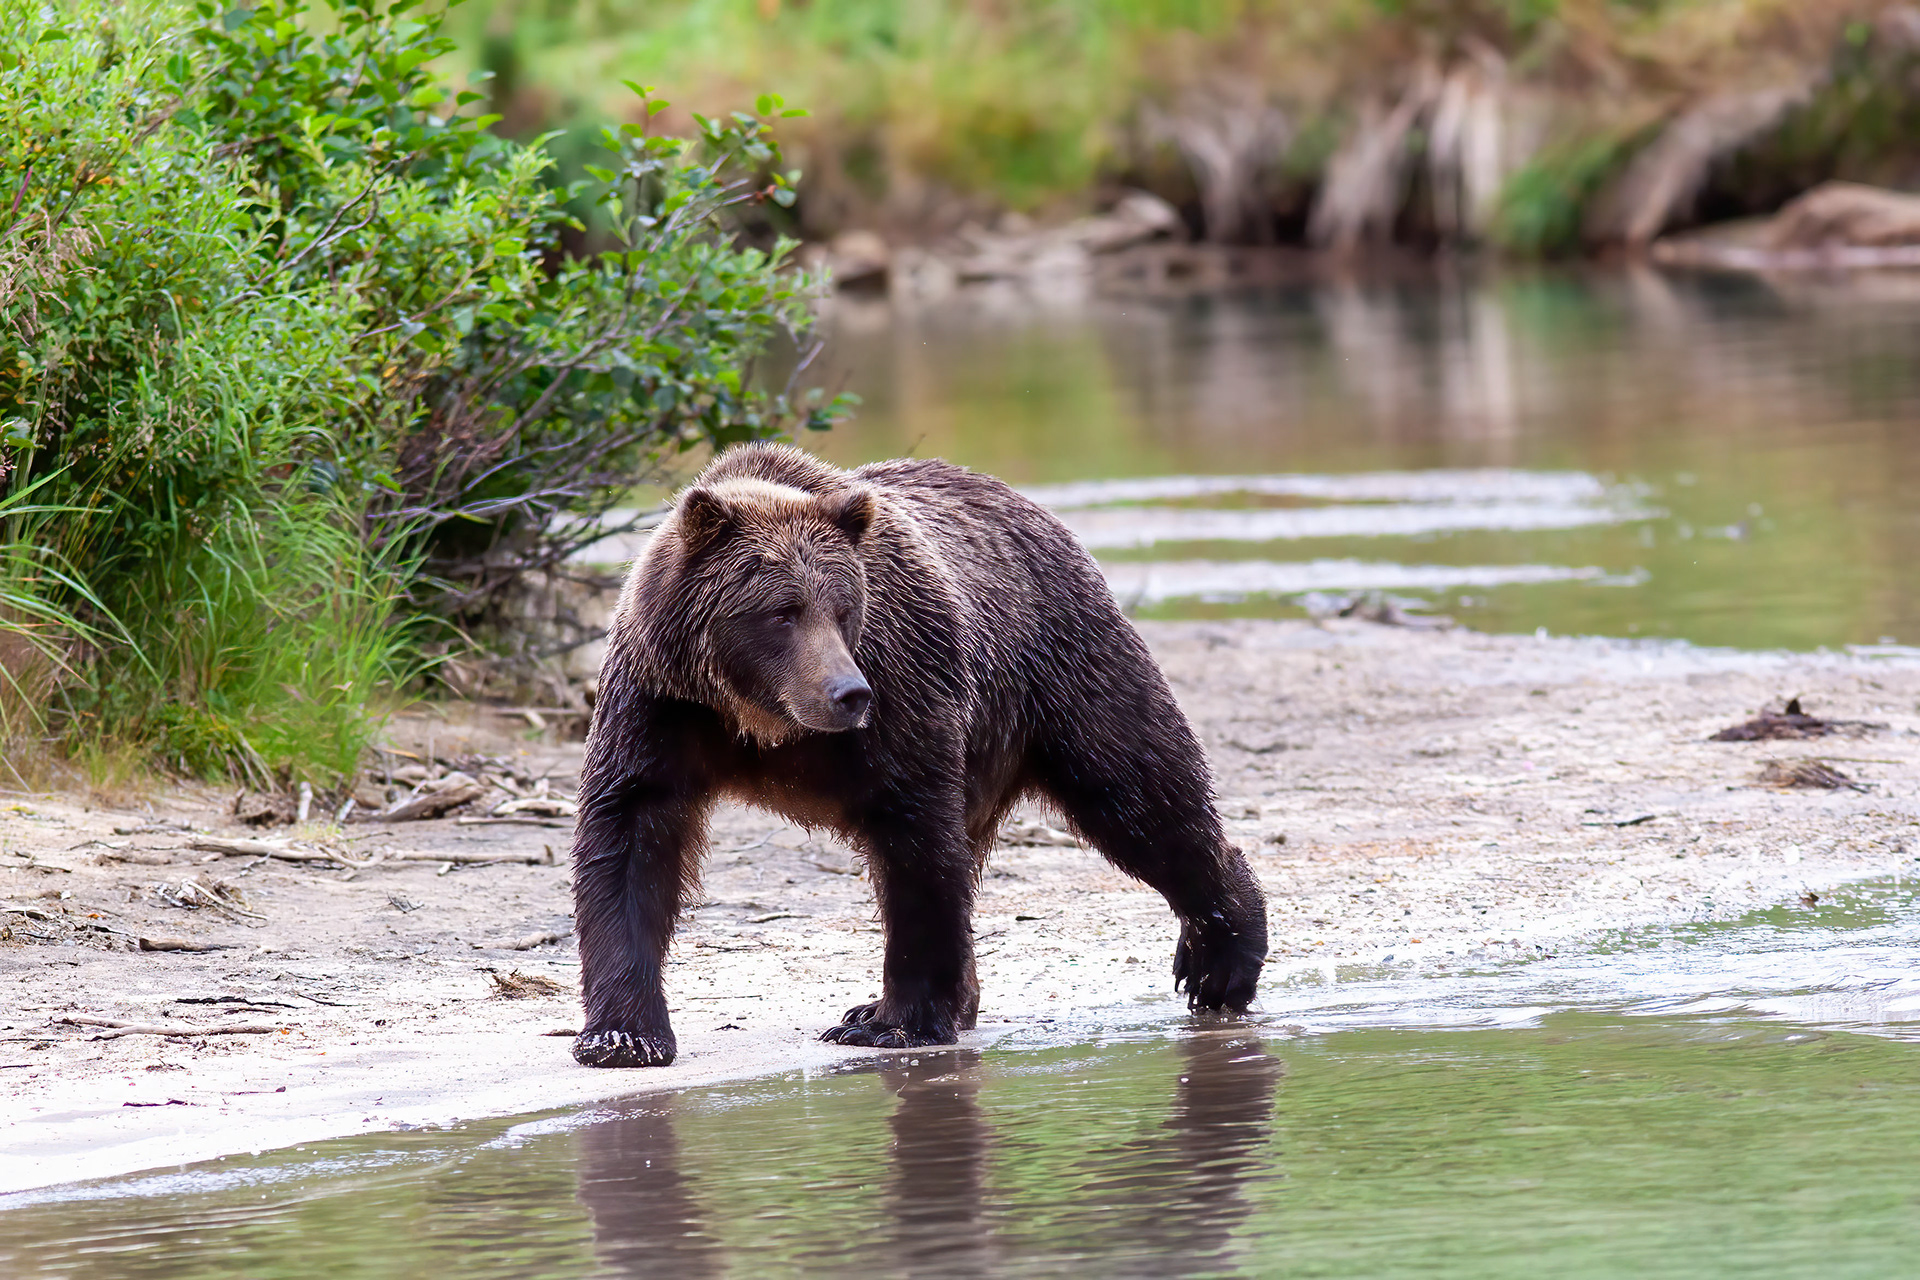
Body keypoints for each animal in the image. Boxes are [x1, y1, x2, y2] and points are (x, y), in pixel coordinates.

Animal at [570, 443, 1268, 1067]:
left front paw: (892, 1023)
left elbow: (916, 843)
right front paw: (623, 1036)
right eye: (782, 611)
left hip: (1065, 669)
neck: (759, 720)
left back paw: (1219, 960)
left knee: (1136, 792)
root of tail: (1035, 510)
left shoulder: (901, 691)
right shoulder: (663, 706)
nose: (847, 692)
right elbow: (629, 838)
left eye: (843, 607)